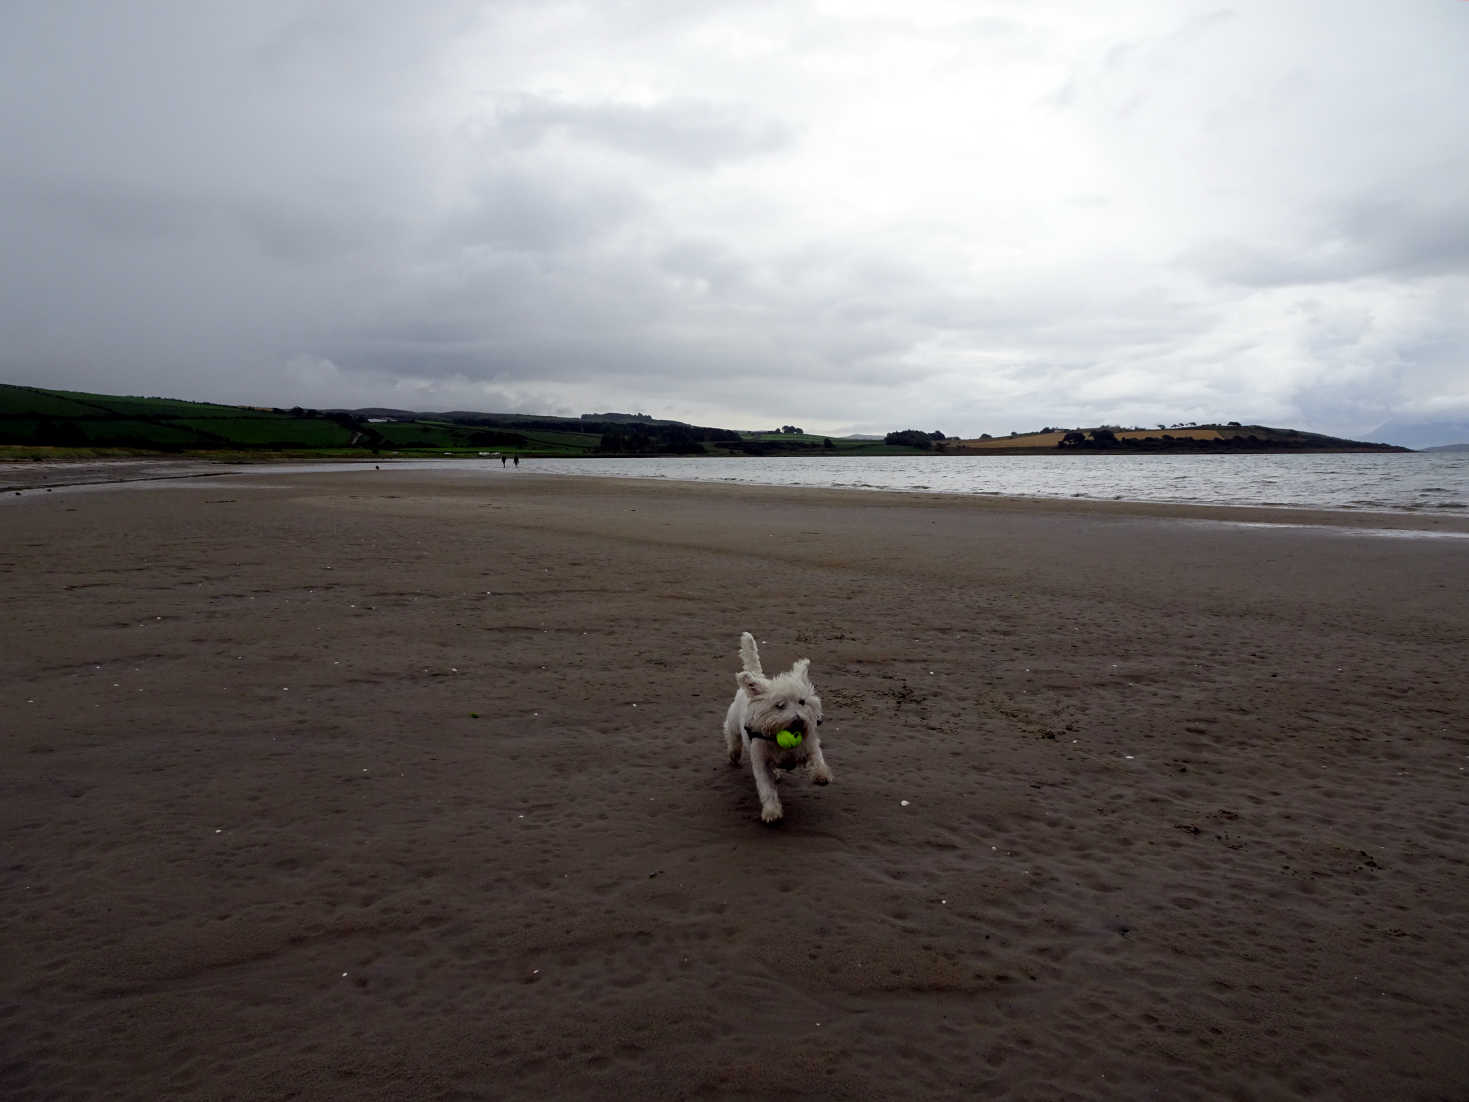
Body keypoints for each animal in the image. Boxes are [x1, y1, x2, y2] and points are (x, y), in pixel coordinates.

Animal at [725, 634, 834, 822]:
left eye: (802, 702)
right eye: (780, 705)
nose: (798, 721)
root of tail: (757, 676)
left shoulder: (809, 744)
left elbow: (817, 757)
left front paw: (821, 775)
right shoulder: (760, 762)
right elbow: (766, 788)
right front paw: (771, 812)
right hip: (733, 723)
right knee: (732, 736)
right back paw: (734, 754)